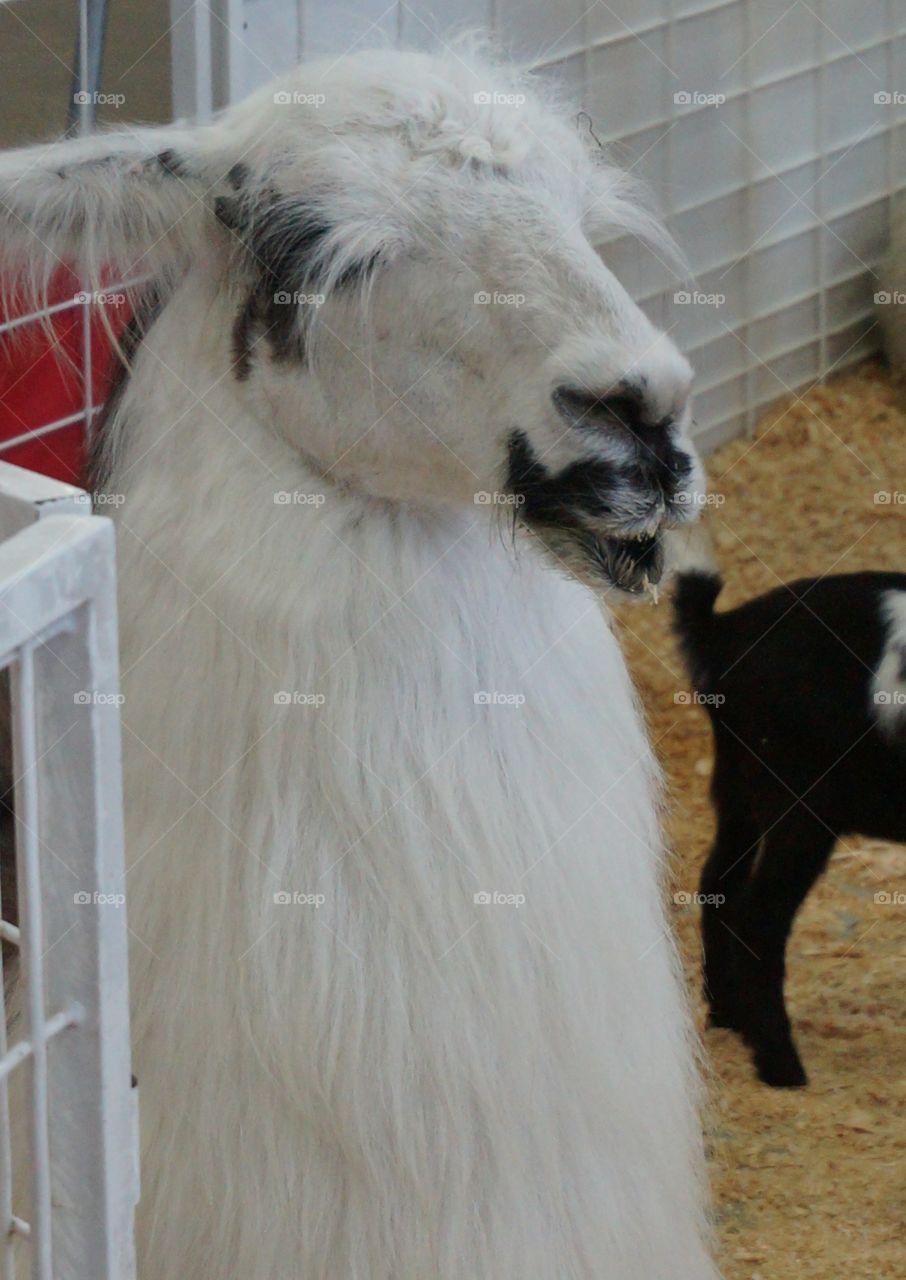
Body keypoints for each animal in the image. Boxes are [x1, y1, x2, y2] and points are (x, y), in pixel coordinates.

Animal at [670, 565, 906, 1085]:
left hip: (737, 785)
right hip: (799, 803)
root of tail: (725, 631)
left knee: (718, 884)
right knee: (760, 916)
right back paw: (781, 1064)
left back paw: (728, 1017)